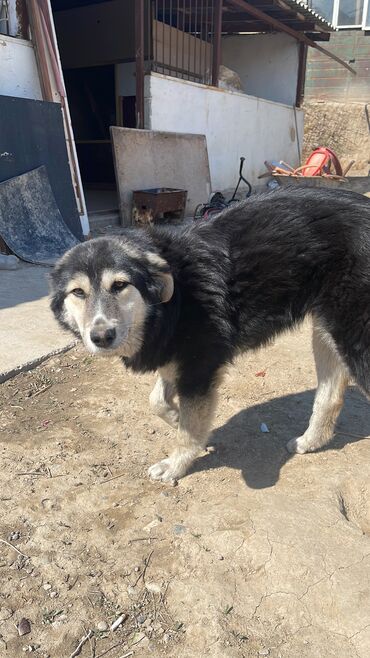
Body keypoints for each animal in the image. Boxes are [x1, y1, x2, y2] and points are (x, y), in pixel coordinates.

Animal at [50, 184, 370, 482]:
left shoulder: (198, 367)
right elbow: (156, 401)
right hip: (327, 332)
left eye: (119, 285)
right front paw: (175, 416)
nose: (101, 336)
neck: (174, 298)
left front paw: (176, 464)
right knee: (330, 396)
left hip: (355, 341)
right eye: (78, 292)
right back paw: (310, 441)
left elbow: (189, 428)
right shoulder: (175, 356)